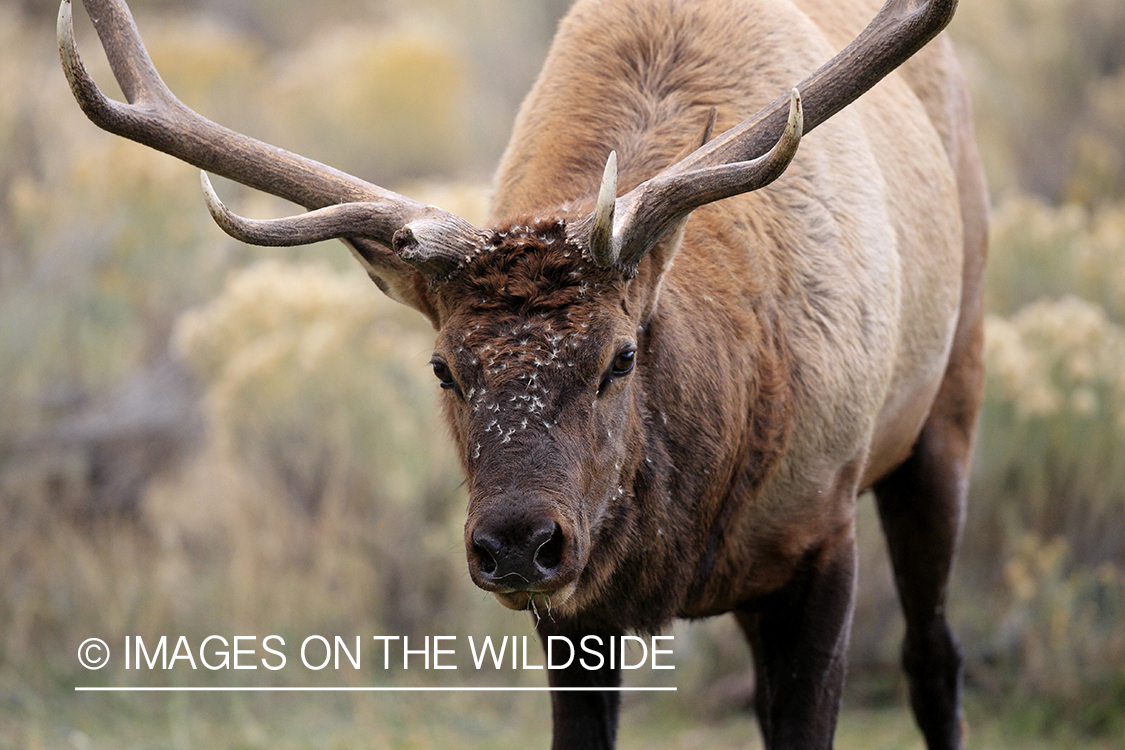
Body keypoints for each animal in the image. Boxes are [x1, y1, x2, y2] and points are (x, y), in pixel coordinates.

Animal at [57, 0, 985, 746]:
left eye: (621, 355)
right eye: (442, 367)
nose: (513, 542)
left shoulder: (822, 526)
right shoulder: (571, 611)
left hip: (946, 407)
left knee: (932, 659)